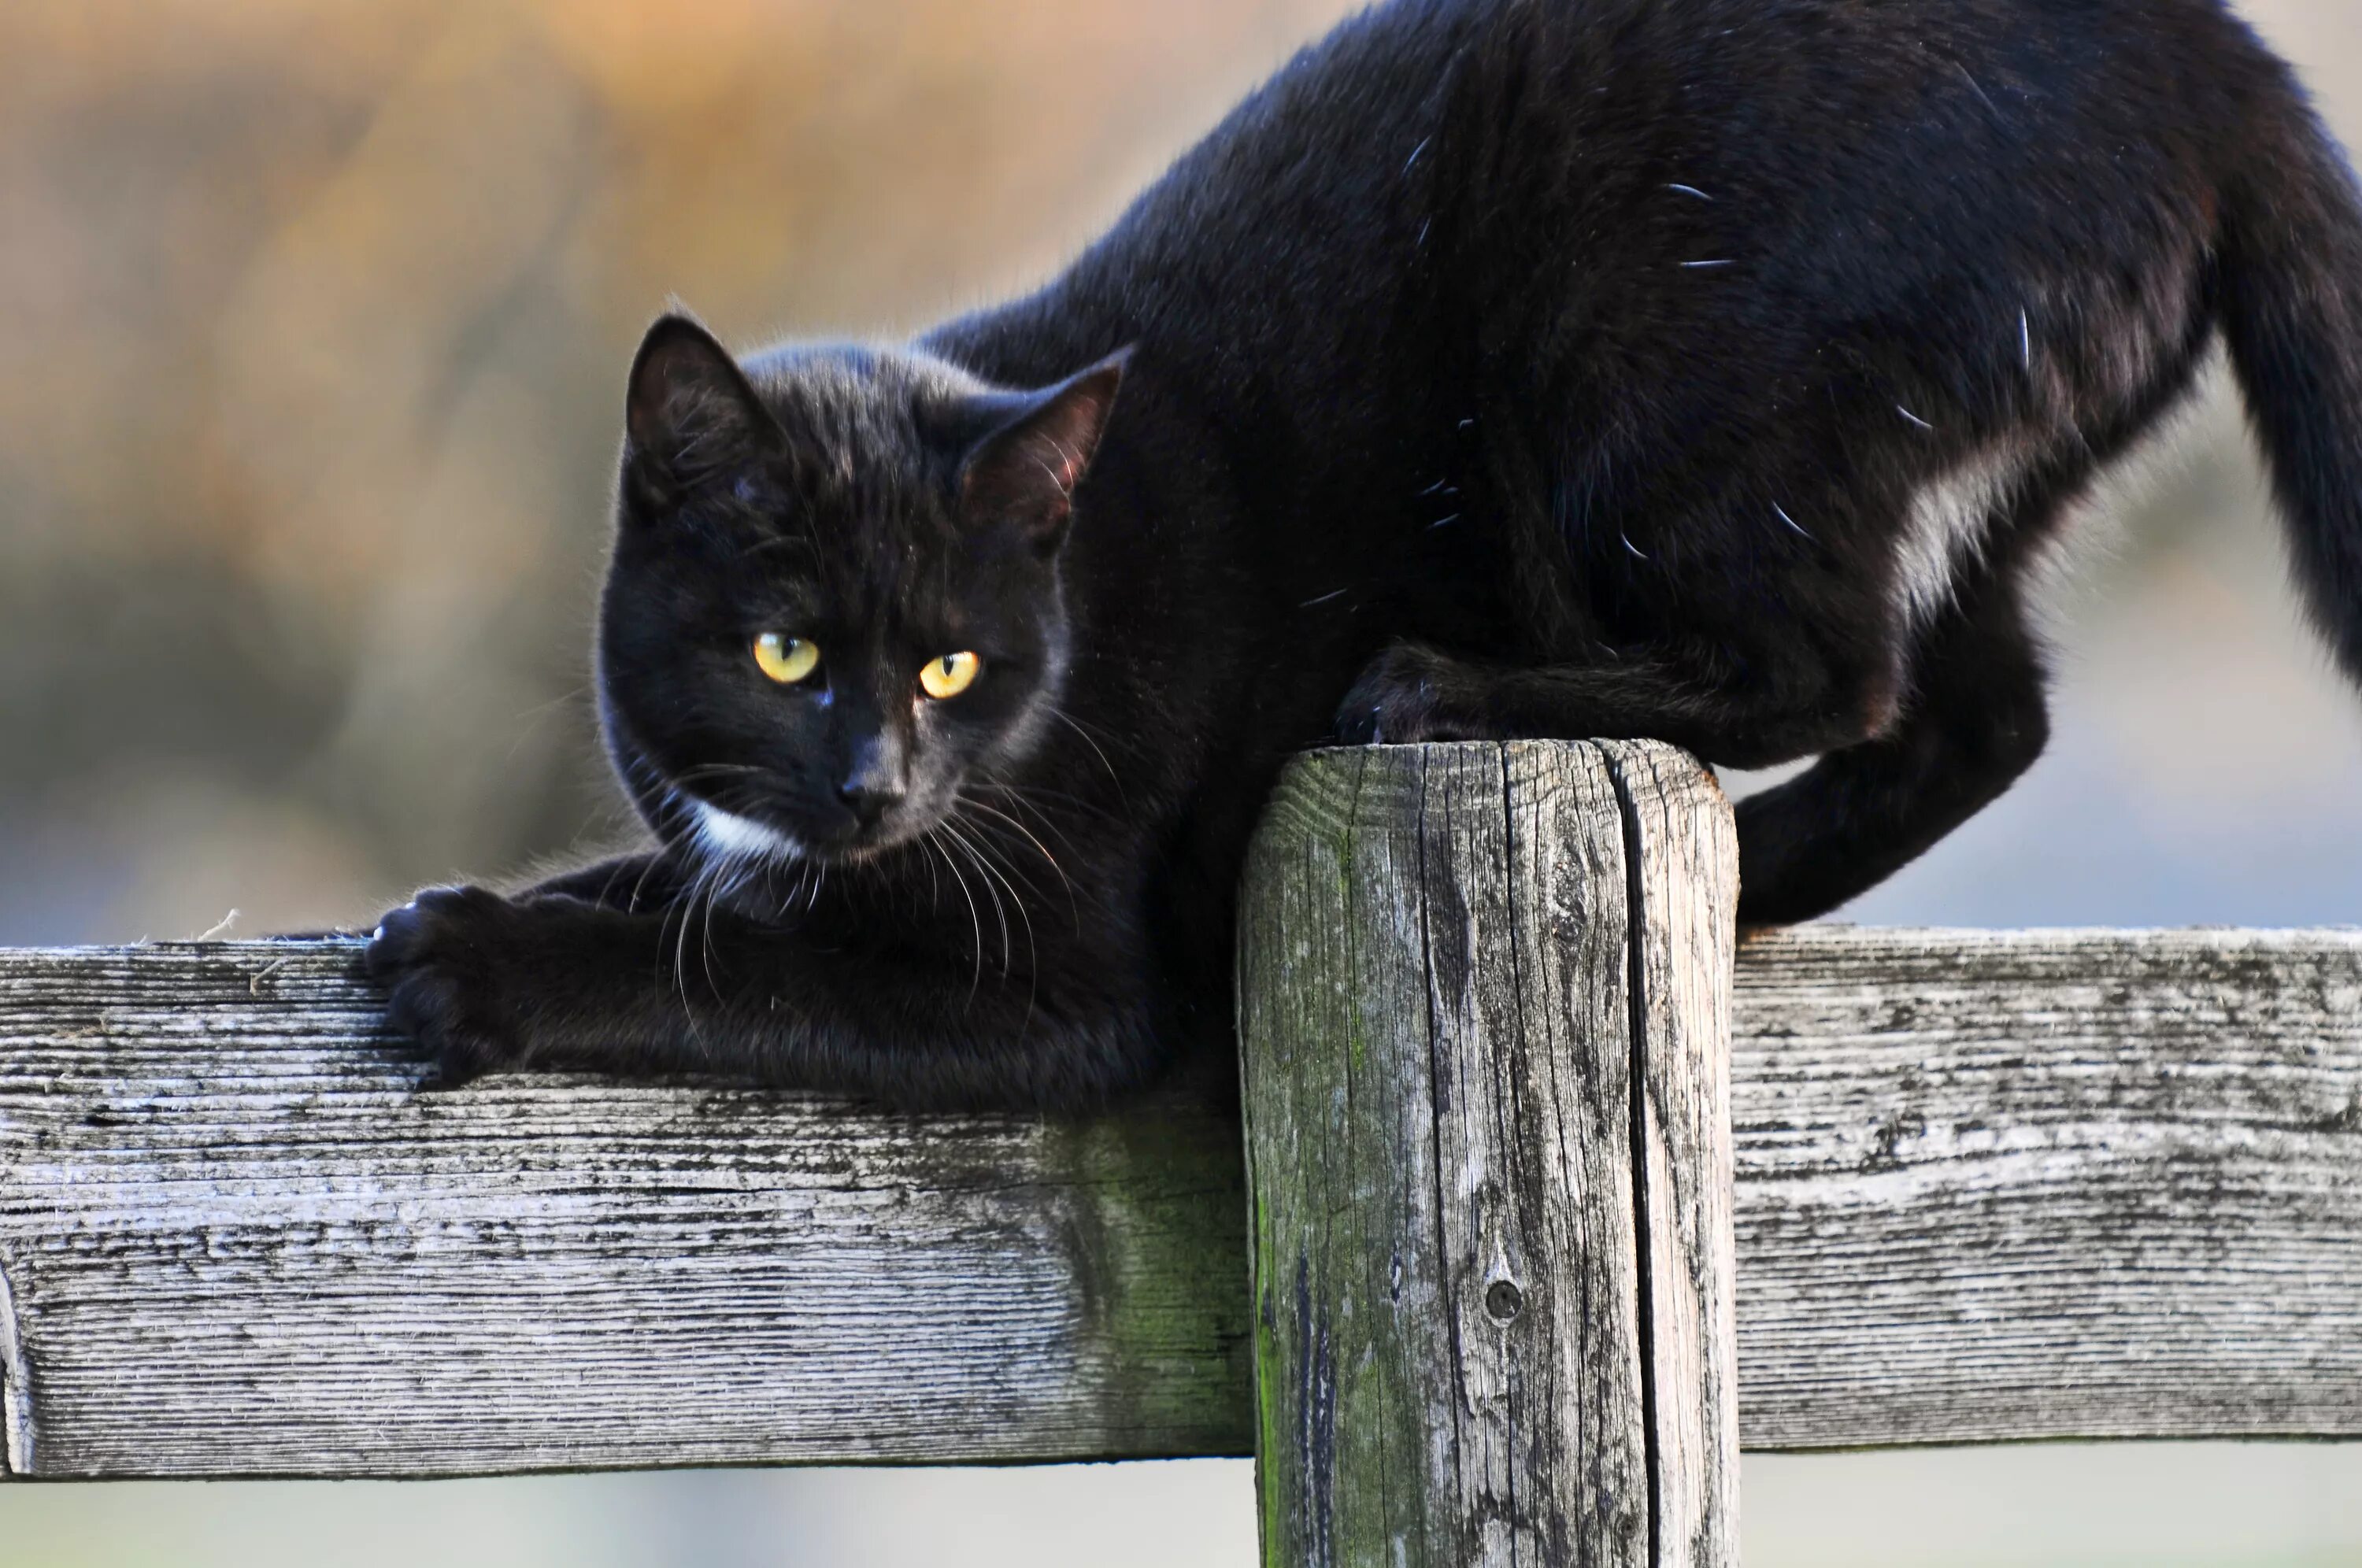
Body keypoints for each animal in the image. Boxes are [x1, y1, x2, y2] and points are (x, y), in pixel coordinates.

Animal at [364, 0, 2362, 1110]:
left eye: (952, 664)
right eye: (783, 652)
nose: (870, 781)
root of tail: (2218, 58)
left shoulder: (1068, 987)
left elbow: (760, 975)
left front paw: (482, 965)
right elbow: (695, 891)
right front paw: (495, 902)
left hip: (1648, 384)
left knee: (1829, 669)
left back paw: (1441, 691)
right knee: (1978, 715)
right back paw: (1753, 885)